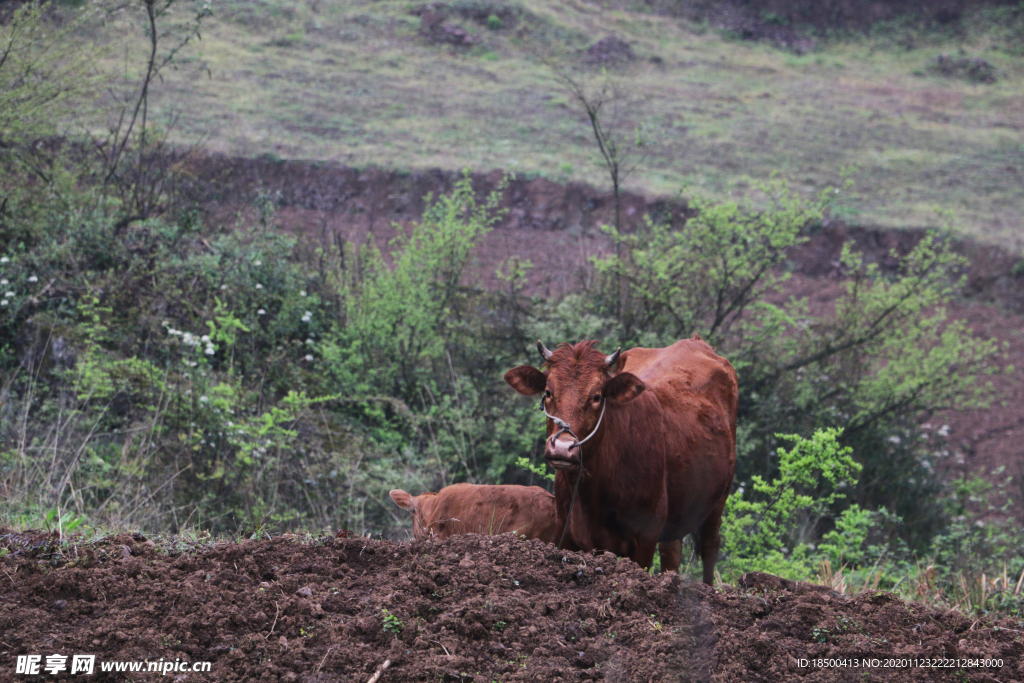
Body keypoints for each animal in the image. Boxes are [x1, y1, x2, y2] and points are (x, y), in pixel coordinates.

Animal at [503, 335, 737, 581]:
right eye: (548, 392)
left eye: (596, 396)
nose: (563, 448)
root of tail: (694, 341)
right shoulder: (566, 532)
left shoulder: (645, 538)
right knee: (672, 549)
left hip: (719, 497)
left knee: (710, 546)